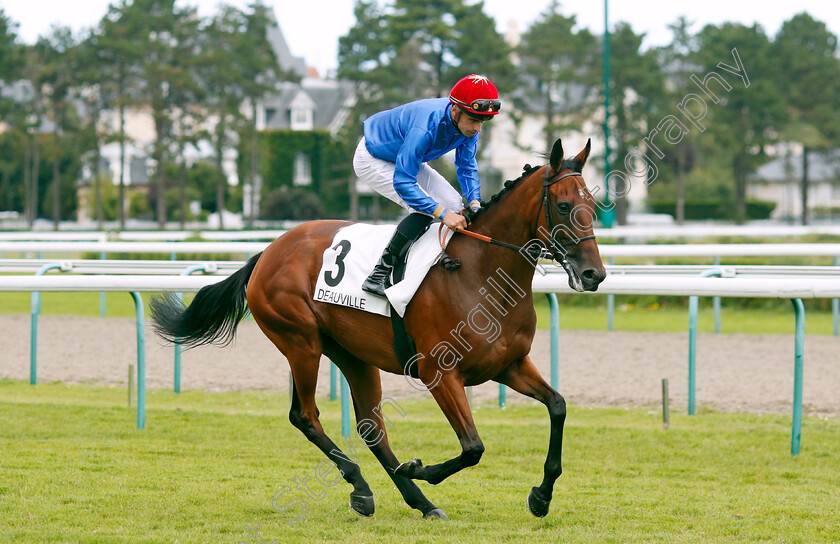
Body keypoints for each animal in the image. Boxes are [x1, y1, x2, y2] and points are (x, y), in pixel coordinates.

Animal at [149, 136, 604, 520]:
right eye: (564, 206)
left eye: (594, 206)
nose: (594, 274)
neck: (478, 271)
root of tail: (267, 252)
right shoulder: (440, 373)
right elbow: (473, 447)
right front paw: (419, 468)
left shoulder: (510, 364)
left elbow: (558, 406)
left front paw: (541, 496)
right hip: (301, 342)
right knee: (306, 416)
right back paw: (365, 487)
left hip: (352, 354)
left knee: (371, 428)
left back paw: (417, 501)